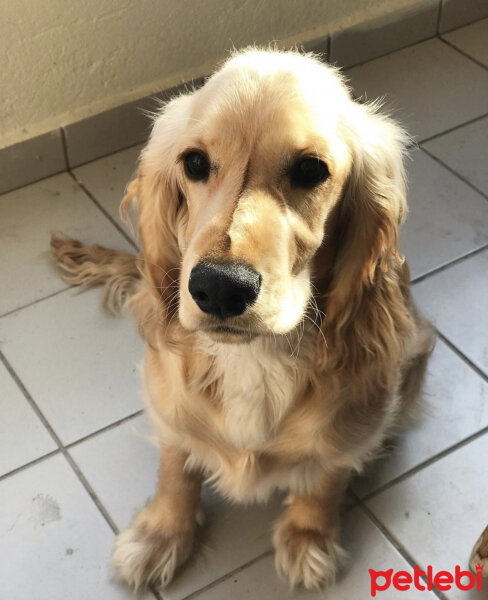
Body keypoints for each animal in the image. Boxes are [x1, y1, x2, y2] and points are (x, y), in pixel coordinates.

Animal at [50, 48, 434, 592]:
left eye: (311, 169)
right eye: (194, 162)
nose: (218, 287)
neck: (255, 358)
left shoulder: (351, 424)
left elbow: (326, 479)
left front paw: (308, 539)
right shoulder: (169, 406)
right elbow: (175, 471)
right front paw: (161, 535)